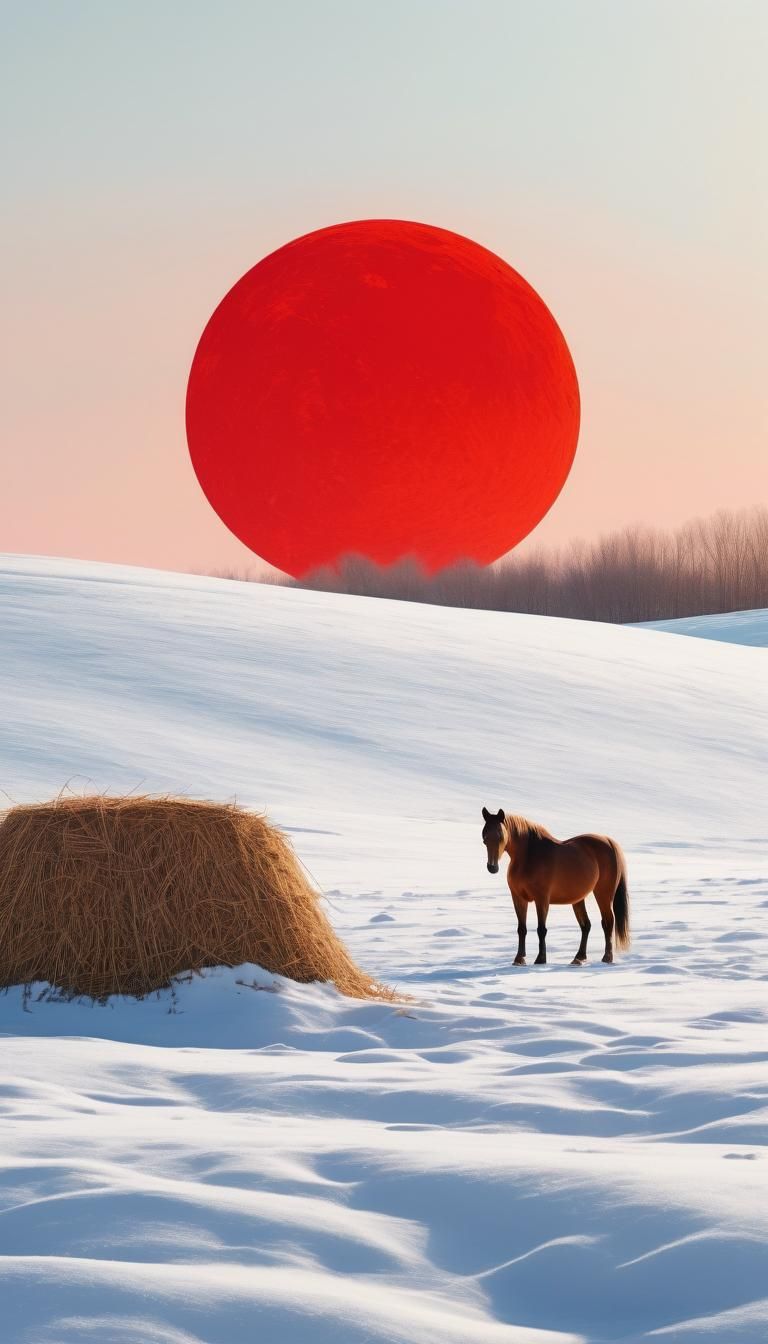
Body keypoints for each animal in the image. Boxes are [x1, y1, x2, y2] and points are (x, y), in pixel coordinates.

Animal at [481, 807, 630, 965]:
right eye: (485, 838)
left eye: (500, 836)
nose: (492, 867)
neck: (528, 856)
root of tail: (609, 841)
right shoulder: (518, 898)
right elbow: (522, 929)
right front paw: (519, 959)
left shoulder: (542, 899)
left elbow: (541, 929)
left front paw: (540, 959)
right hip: (578, 899)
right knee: (586, 925)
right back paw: (578, 958)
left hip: (603, 894)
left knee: (608, 922)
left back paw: (607, 957)